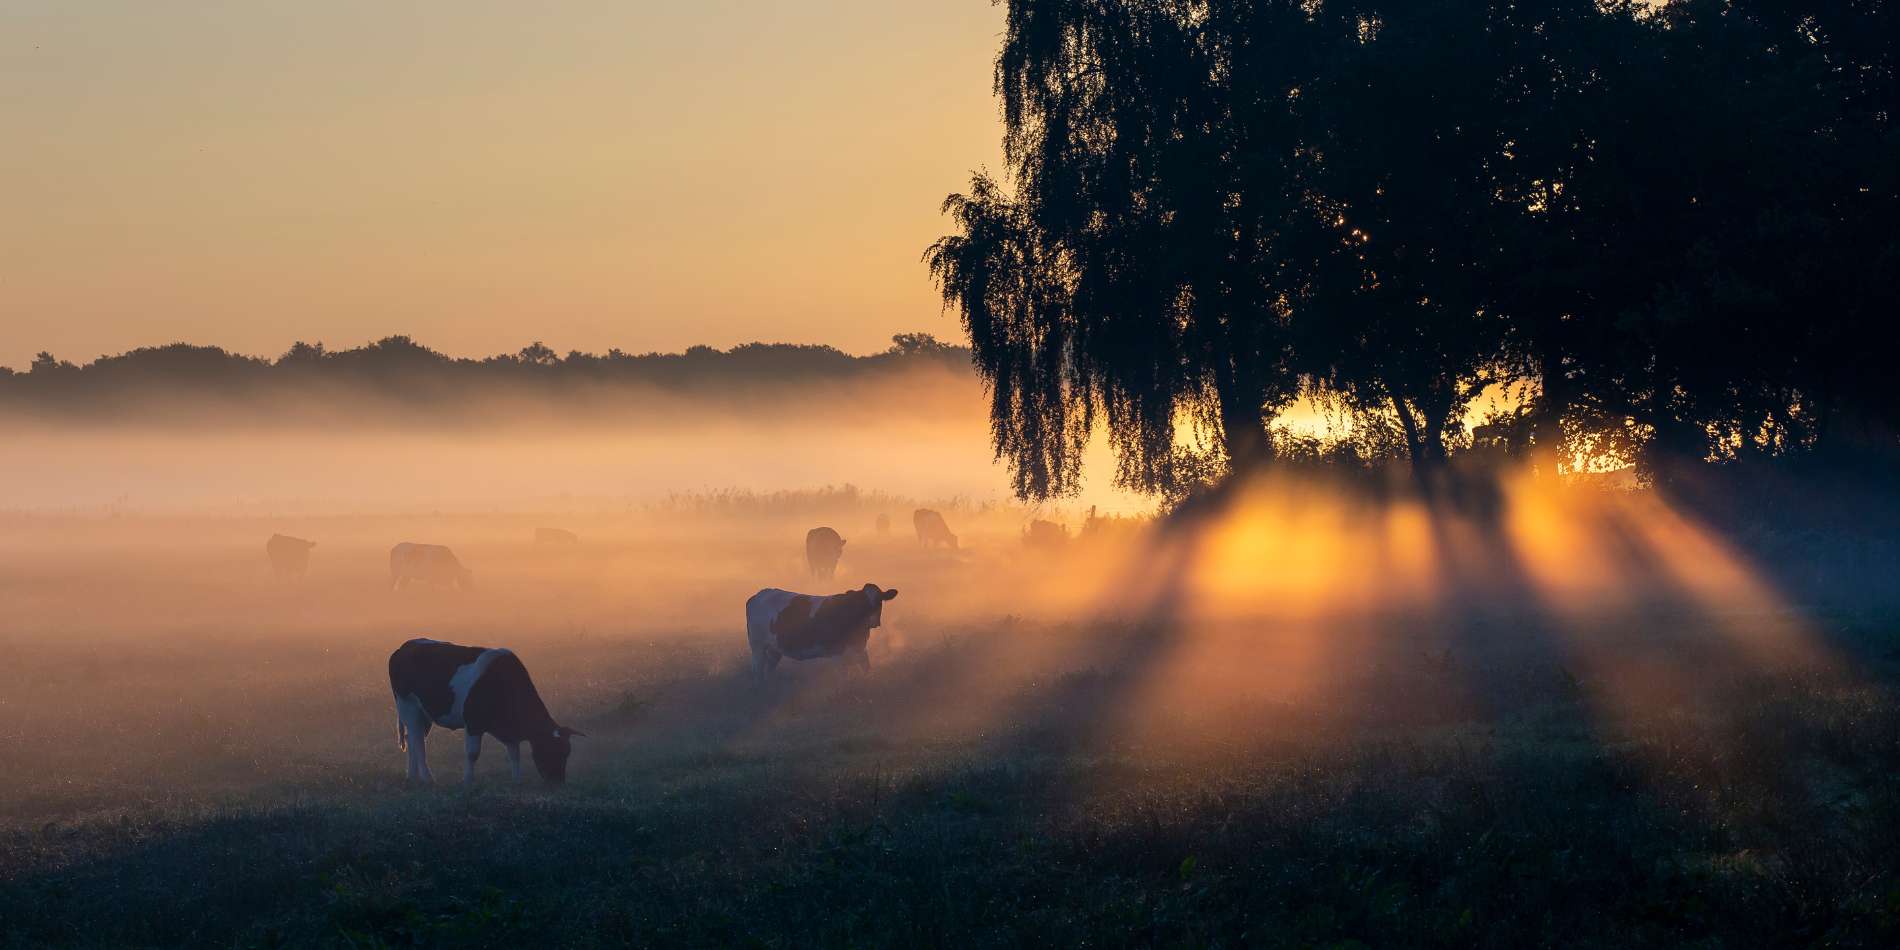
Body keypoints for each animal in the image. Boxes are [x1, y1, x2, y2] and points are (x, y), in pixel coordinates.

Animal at [388, 638, 584, 784]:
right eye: (548, 749)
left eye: (566, 752)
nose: (557, 782)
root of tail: (404, 646)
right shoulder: (473, 723)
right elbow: (472, 754)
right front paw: (467, 780)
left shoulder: (509, 730)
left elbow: (514, 754)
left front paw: (517, 780)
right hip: (408, 706)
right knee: (418, 741)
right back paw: (427, 778)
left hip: (424, 713)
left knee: (412, 739)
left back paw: (412, 776)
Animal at [745, 583, 898, 680]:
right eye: (862, 602)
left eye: (880, 601)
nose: (873, 621)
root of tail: (758, 594)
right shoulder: (837, 653)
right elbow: (844, 676)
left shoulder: (860, 648)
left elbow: (867, 669)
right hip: (757, 645)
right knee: (757, 670)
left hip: (775, 648)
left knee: (769, 670)